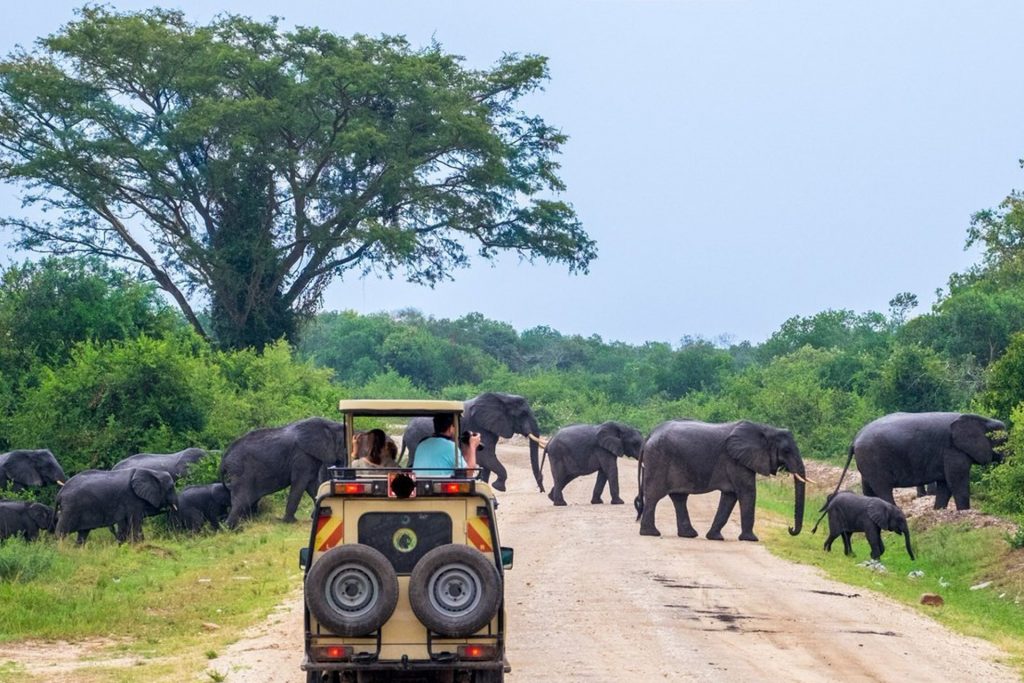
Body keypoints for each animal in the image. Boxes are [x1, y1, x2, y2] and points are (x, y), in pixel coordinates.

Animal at [218, 417, 346, 528]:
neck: (330, 425)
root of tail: (224, 459)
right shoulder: (301, 456)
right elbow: (300, 484)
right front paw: (290, 522)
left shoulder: (311, 457)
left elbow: (313, 485)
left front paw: (318, 515)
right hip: (241, 472)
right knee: (241, 500)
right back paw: (230, 529)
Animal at [397, 393, 544, 493]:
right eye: (522, 414)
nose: (541, 489)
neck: (502, 397)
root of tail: (405, 431)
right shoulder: (480, 427)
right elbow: (486, 457)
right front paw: (498, 487)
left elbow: (487, 461)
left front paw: (485, 485)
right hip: (415, 439)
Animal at [630, 419, 806, 540]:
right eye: (786, 450)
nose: (790, 528)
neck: (765, 428)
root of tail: (650, 434)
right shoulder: (736, 461)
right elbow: (747, 493)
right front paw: (751, 539)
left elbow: (730, 497)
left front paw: (715, 537)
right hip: (659, 460)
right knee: (654, 496)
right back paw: (651, 533)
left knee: (679, 498)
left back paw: (689, 535)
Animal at [839, 409, 1007, 509]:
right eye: (1002, 441)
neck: (982, 419)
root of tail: (855, 439)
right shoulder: (953, 449)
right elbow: (957, 482)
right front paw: (964, 513)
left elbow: (945, 485)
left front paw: (939, 511)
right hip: (873, 460)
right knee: (882, 488)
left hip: (866, 460)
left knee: (868, 488)